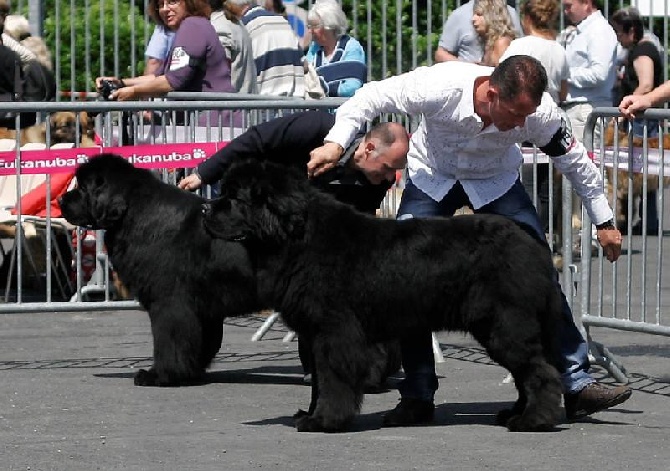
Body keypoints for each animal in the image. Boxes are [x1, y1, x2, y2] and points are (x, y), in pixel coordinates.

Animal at [58, 155, 260, 388]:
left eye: (83, 187)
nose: (60, 201)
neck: (134, 214)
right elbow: (202, 342)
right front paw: (190, 373)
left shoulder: (170, 302)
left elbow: (170, 341)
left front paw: (160, 375)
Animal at [203, 160, 568, 434]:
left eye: (234, 197)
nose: (206, 213)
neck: (297, 238)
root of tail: (533, 244)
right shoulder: (313, 332)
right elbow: (318, 380)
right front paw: (309, 413)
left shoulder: (334, 332)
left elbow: (332, 379)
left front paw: (324, 421)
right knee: (525, 373)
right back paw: (514, 413)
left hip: (505, 325)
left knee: (539, 371)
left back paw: (533, 420)